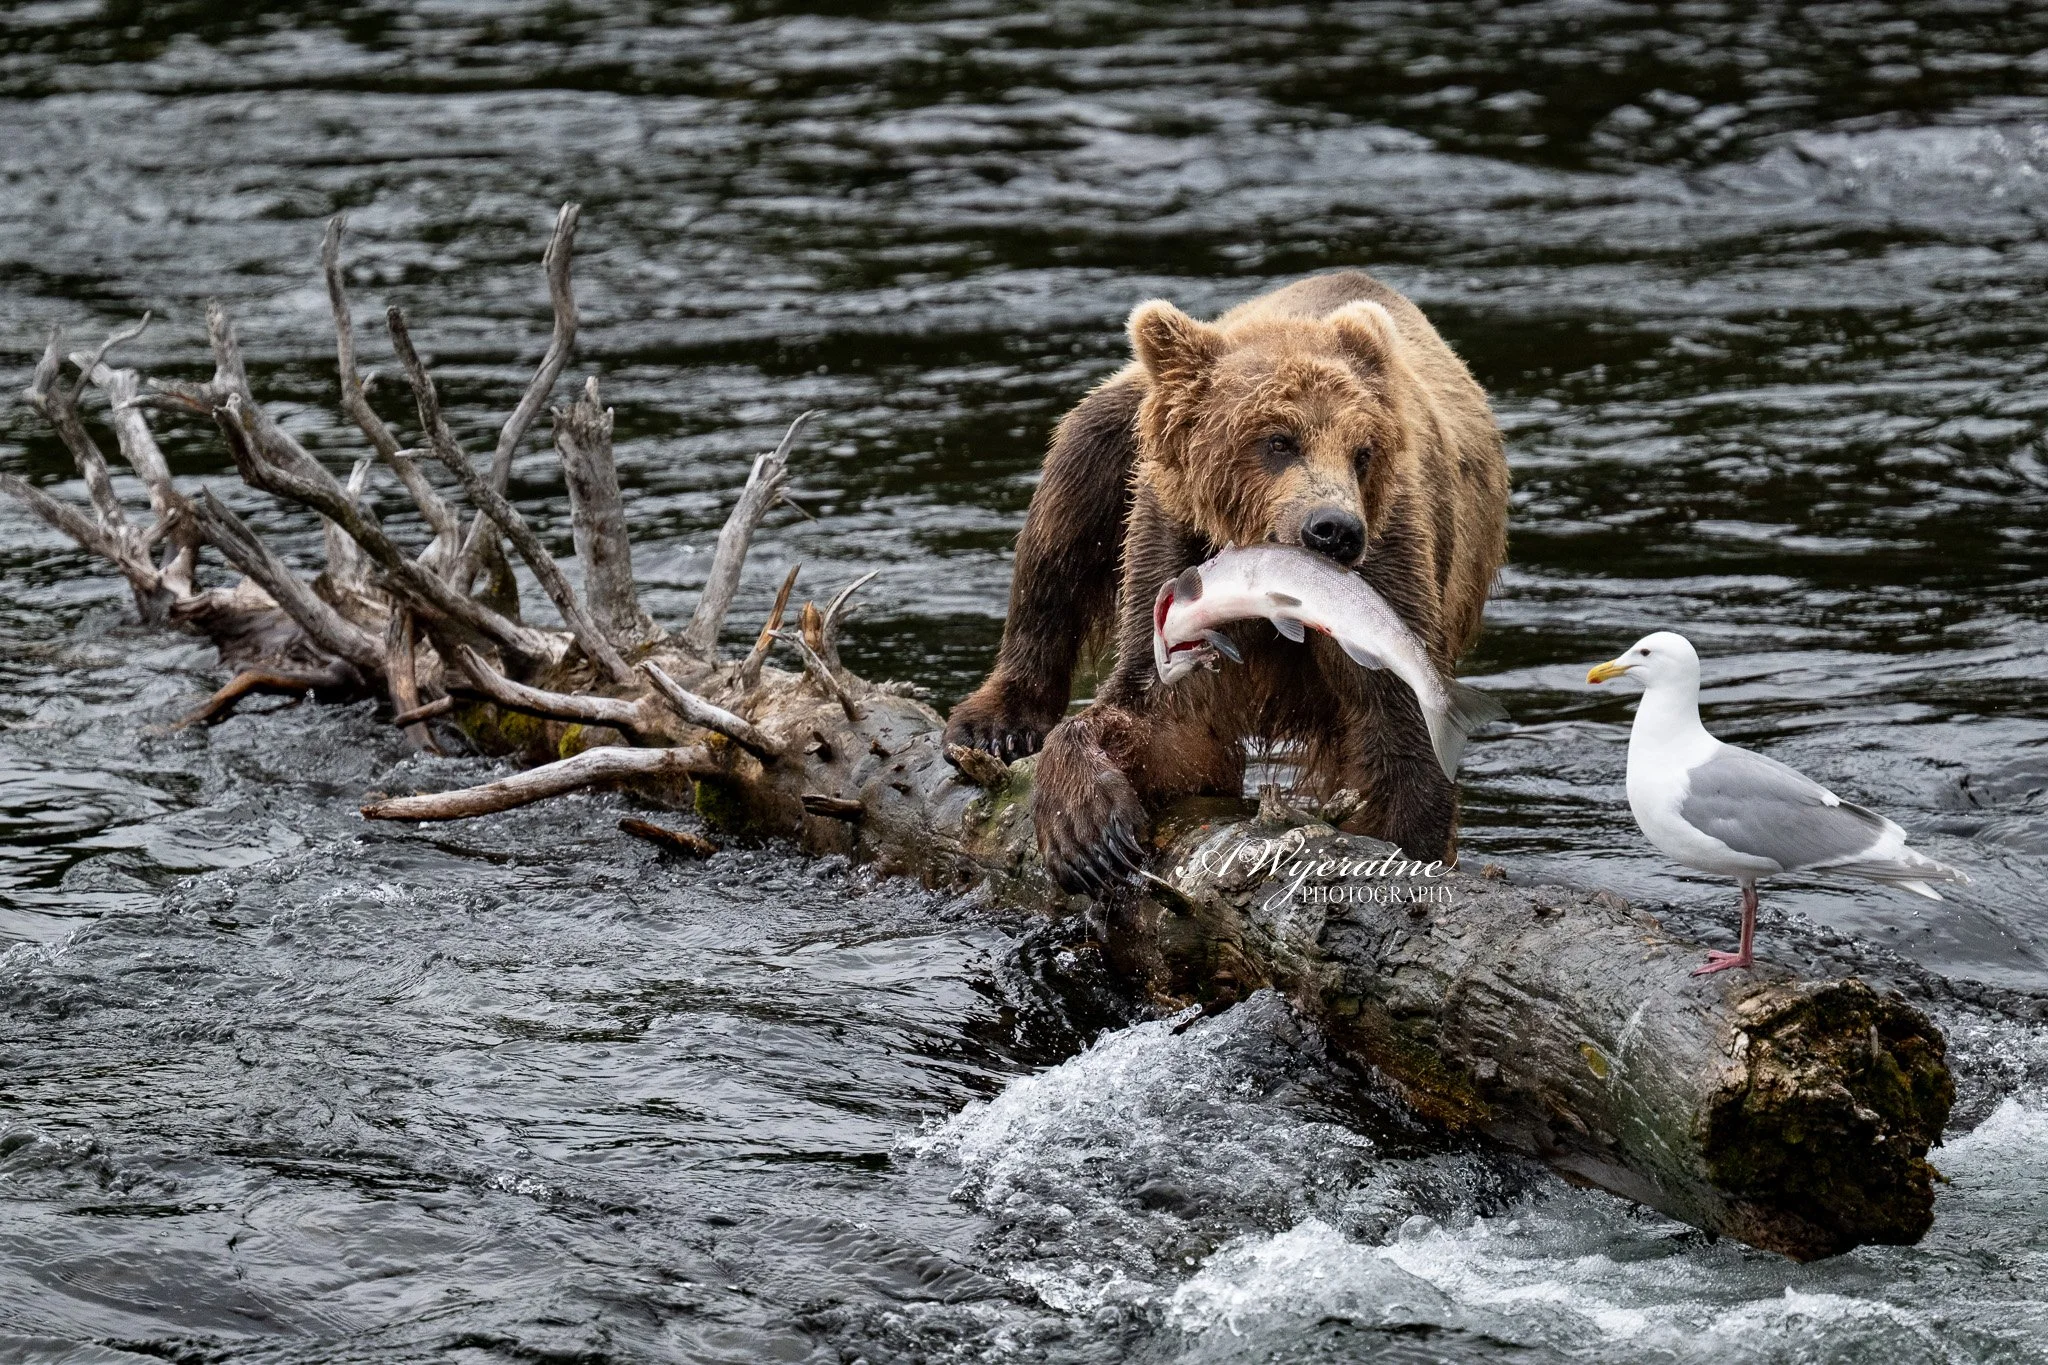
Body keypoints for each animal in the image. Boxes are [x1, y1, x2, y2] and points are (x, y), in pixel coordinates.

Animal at [944, 270, 1509, 894]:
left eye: (1362, 452)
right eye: (1278, 440)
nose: (1335, 531)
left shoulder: (1390, 568)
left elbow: (1398, 730)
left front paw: (1406, 845)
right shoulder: (1173, 544)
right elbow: (1165, 720)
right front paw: (1089, 834)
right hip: (1120, 431)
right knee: (1059, 530)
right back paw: (996, 726)